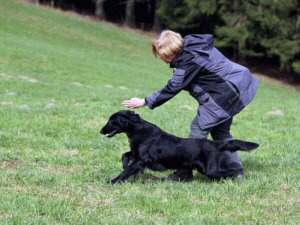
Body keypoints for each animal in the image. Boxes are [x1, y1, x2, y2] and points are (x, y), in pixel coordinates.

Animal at [100, 110, 258, 184]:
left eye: (112, 121)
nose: (101, 131)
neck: (138, 130)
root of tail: (215, 143)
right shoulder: (136, 153)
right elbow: (125, 155)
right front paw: (125, 165)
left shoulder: (141, 159)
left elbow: (126, 171)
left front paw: (112, 181)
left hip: (210, 170)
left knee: (231, 171)